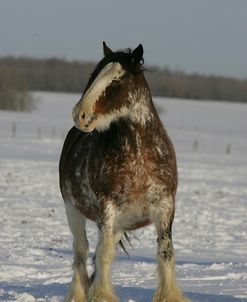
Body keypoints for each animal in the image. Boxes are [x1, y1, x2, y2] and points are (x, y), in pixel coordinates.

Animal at [59, 42, 189, 302]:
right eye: (93, 76)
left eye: (117, 81)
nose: (80, 114)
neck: (139, 157)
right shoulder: (107, 208)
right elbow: (103, 253)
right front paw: (102, 295)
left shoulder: (165, 207)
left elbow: (165, 253)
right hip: (73, 211)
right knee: (81, 251)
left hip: (120, 223)